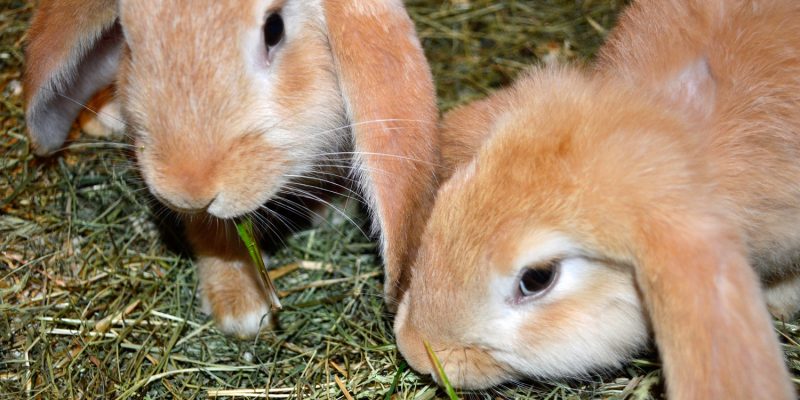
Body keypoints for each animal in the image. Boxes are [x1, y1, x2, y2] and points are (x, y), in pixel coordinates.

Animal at [23, 0, 438, 338]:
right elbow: (213, 232)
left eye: (274, 29)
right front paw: (242, 310)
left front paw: (332, 210)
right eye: (128, 32)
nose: (186, 189)